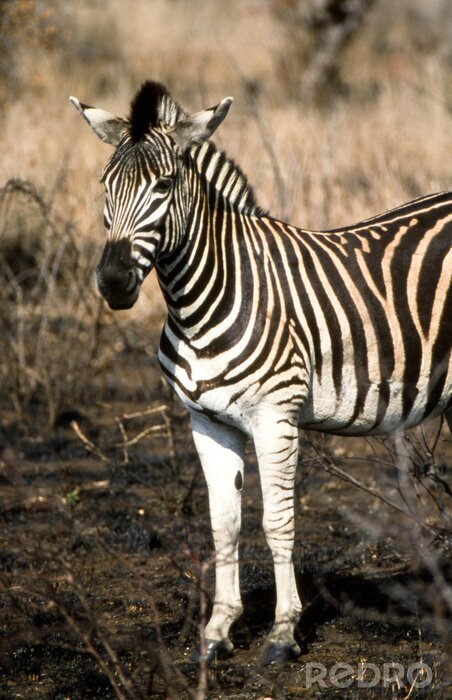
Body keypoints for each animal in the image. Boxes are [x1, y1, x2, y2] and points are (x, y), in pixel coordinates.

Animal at [70, 81, 452, 664]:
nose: (113, 283)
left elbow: (277, 521)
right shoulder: (207, 421)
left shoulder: (276, 417)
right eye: (104, 187)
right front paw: (217, 630)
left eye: (164, 185)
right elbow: (223, 523)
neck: (201, 301)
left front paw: (282, 632)